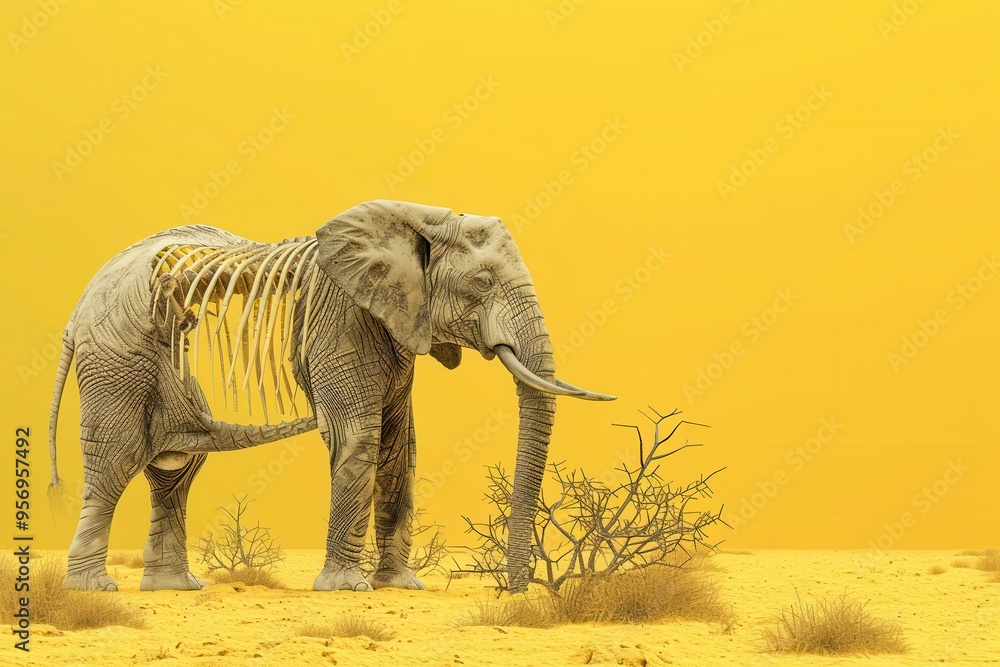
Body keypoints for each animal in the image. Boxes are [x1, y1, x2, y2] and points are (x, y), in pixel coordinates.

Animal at [48, 199, 613, 593]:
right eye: (481, 282)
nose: (513, 592)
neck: (419, 218)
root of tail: (77, 310)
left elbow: (399, 446)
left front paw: (400, 588)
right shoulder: (345, 319)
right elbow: (360, 438)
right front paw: (347, 590)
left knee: (174, 471)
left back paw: (176, 589)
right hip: (119, 356)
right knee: (116, 462)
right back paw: (95, 589)